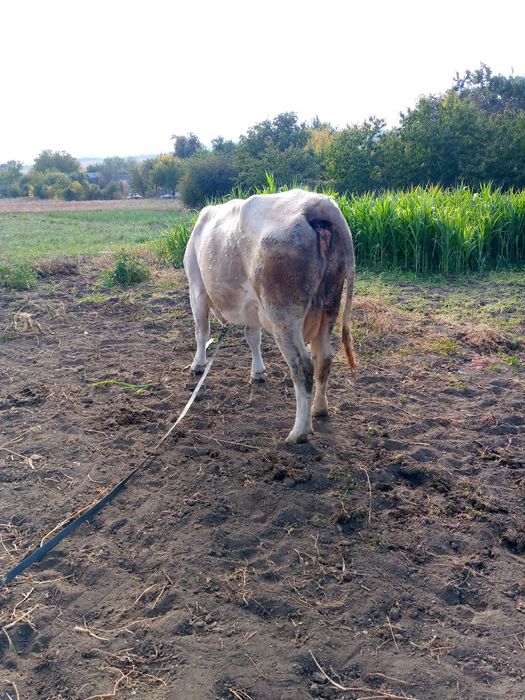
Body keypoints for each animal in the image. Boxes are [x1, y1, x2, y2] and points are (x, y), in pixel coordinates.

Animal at [183, 189, 357, 443]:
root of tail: (319, 204)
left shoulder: (196, 289)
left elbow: (201, 332)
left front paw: (198, 365)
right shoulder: (252, 307)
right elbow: (253, 337)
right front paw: (258, 372)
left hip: (283, 313)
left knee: (303, 367)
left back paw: (299, 432)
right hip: (330, 307)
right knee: (323, 360)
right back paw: (320, 409)